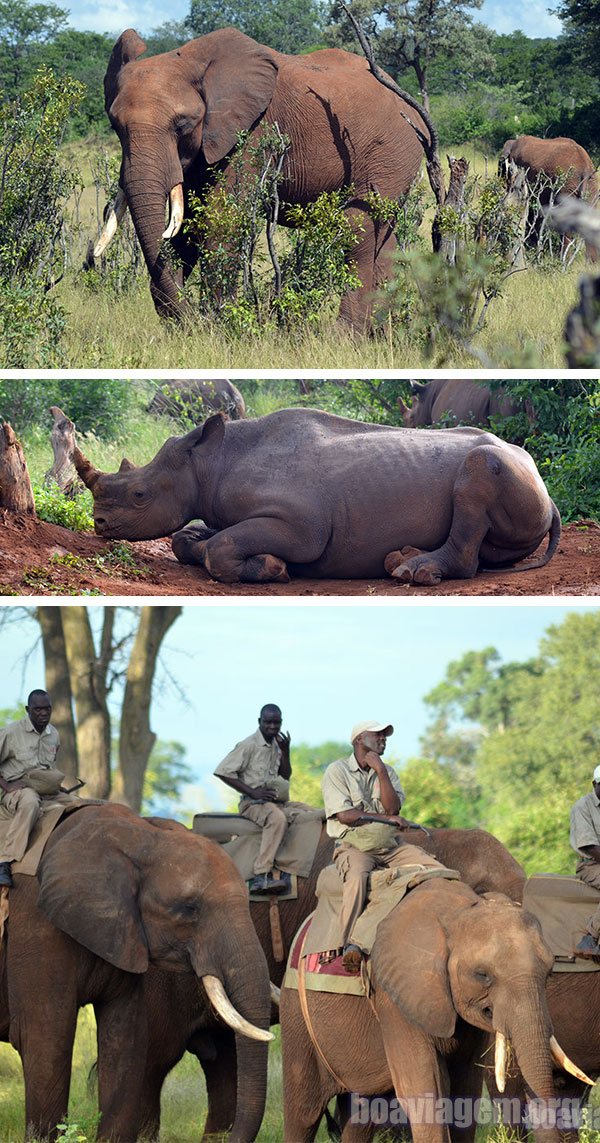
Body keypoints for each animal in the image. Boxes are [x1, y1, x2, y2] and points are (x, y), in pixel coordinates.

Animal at [0, 804, 270, 1143]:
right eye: (189, 908)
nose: (225, 1137)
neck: (137, 835)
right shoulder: (37, 927)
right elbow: (46, 1036)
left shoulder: (125, 932)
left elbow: (125, 1037)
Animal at [72, 409, 560, 589]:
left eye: (139, 495)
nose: (99, 525)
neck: (210, 461)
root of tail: (548, 490)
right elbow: (190, 539)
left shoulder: (303, 527)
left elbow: (221, 547)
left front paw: (273, 568)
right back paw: (399, 560)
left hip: (508, 469)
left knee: (479, 468)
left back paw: (410, 572)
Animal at [94, 26, 425, 329]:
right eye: (115, 125)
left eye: (183, 125)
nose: (189, 321)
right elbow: (188, 224)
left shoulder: (251, 131)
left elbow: (219, 221)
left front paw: (221, 328)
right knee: (384, 239)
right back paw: (379, 336)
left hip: (391, 153)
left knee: (359, 231)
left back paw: (346, 338)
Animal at [281, 873, 571, 1143]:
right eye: (482, 975)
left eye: (550, 972)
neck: (458, 910)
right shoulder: (394, 999)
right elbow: (425, 1089)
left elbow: (465, 1089)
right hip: (296, 1017)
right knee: (304, 1112)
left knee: (361, 1116)